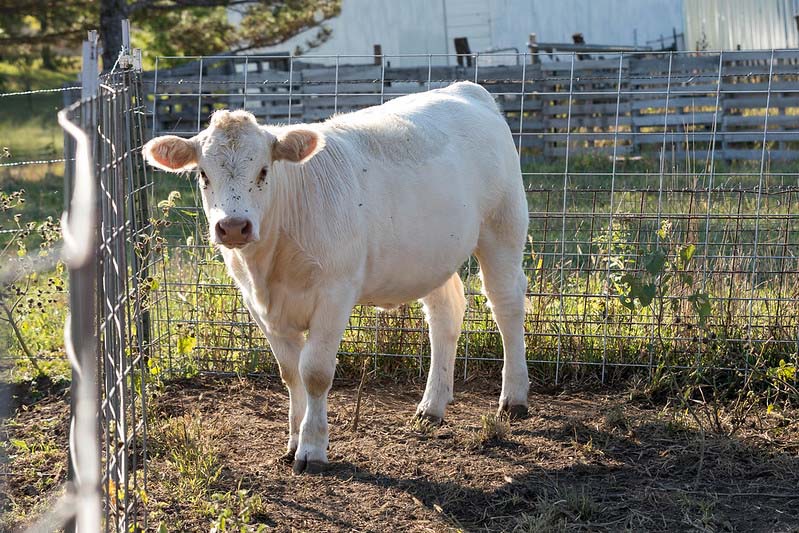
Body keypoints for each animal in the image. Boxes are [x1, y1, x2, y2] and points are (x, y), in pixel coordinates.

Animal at [144, 80, 532, 474]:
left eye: (264, 171)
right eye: (204, 175)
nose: (234, 226)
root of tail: (466, 89)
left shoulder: (335, 292)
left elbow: (314, 372)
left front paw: (312, 448)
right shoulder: (257, 303)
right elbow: (290, 372)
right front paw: (293, 441)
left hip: (503, 227)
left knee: (506, 305)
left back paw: (513, 399)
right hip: (433, 255)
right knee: (445, 314)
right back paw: (431, 406)